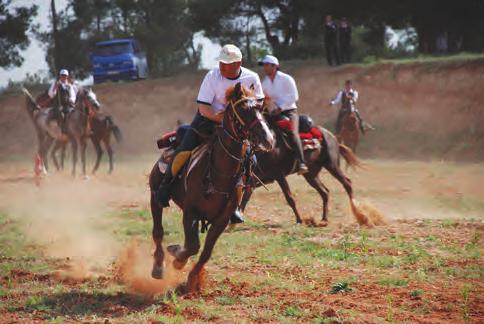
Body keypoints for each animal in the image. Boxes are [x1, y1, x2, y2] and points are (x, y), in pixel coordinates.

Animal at [147, 82, 274, 292]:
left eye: (260, 108)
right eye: (243, 109)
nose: (268, 138)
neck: (219, 173)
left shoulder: (221, 220)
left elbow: (205, 251)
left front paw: (192, 279)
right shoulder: (190, 211)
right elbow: (192, 246)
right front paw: (177, 257)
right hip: (154, 196)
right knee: (158, 231)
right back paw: (158, 267)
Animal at [238, 110, 370, 227]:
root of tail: (333, 138)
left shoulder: (279, 175)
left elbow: (290, 198)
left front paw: (299, 220)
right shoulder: (255, 179)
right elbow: (245, 197)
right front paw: (237, 218)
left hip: (332, 166)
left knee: (347, 183)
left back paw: (359, 214)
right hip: (311, 175)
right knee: (325, 192)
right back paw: (324, 219)